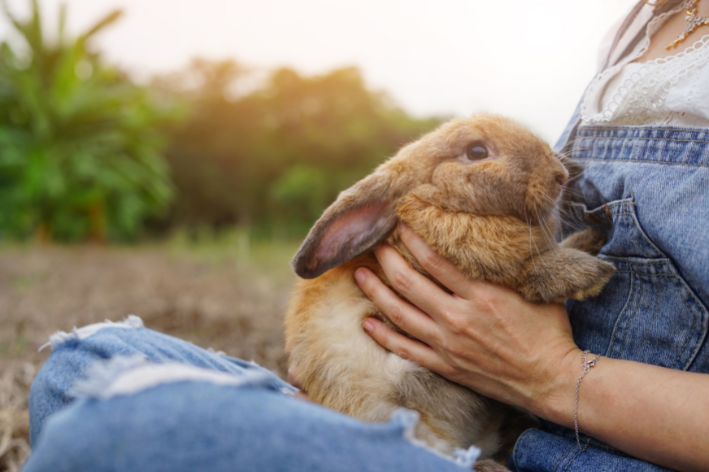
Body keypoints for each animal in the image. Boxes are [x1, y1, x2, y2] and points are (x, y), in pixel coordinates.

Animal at [282, 113, 612, 468]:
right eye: (476, 151)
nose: (560, 175)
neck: (436, 203)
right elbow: (534, 272)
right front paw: (593, 272)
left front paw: (591, 240)